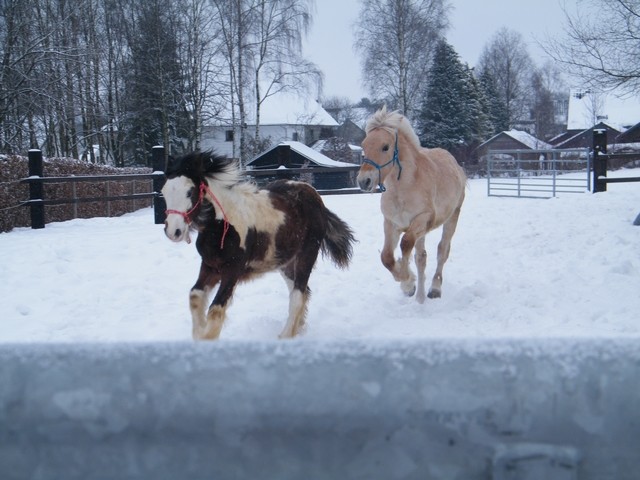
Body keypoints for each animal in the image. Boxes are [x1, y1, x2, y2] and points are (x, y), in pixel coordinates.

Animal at [160, 152, 356, 340]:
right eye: (164, 191)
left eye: (189, 192)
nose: (173, 231)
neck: (223, 225)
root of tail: (315, 197)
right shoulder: (209, 265)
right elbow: (195, 296)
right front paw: (199, 331)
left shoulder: (232, 270)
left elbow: (216, 309)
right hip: (285, 263)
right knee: (302, 291)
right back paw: (298, 328)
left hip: (306, 255)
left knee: (298, 295)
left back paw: (286, 335)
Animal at [356, 108, 464, 302]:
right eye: (364, 146)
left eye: (385, 146)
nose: (364, 181)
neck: (403, 189)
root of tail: (456, 164)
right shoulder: (391, 224)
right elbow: (386, 257)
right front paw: (408, 287)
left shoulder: (421, 220)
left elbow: (405, 244)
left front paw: (407, 280)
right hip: (422, 233)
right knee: (422, 257)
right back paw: (420, 296)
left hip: (452, 218)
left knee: (442, 251)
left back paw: (434, 289)